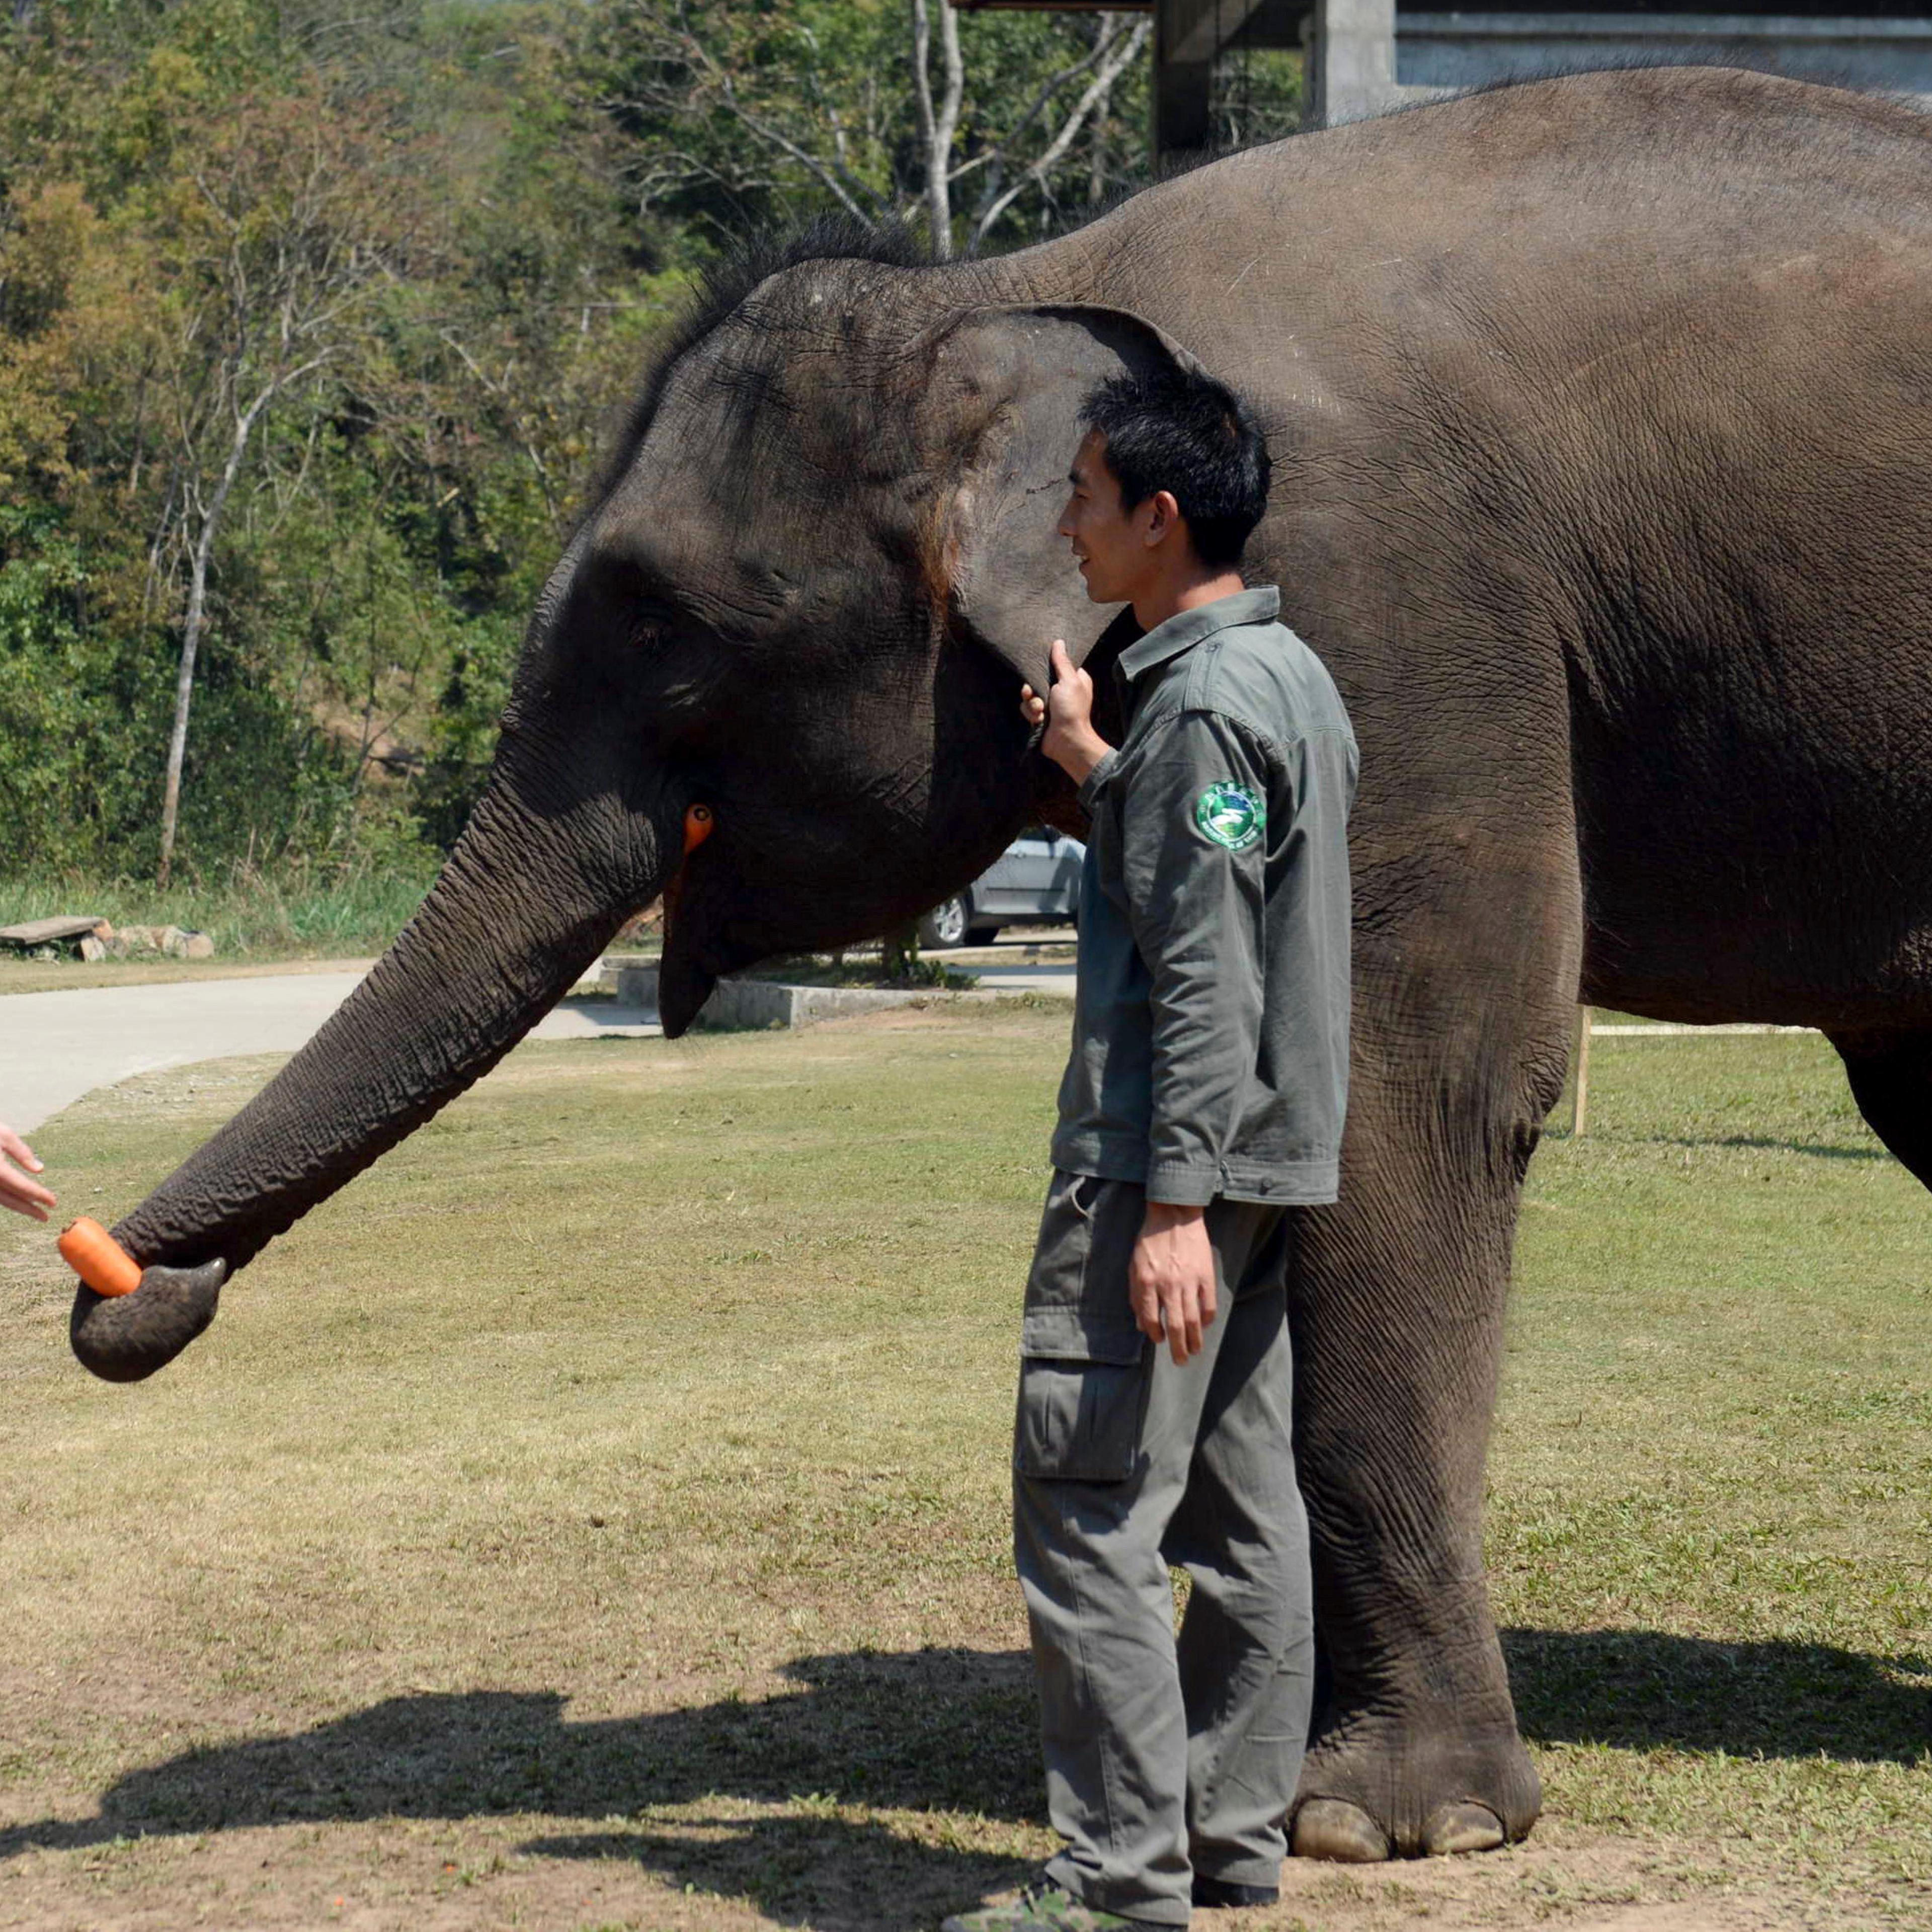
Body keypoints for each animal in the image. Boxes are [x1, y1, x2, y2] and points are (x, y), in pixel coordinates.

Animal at [68, 64, 1932, 1864]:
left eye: (659, 620)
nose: (123, 1296)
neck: (1021, 292)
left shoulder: (1391, 612)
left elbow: (1405, 1089)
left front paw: (1391, 1825)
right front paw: (1244, 1774)